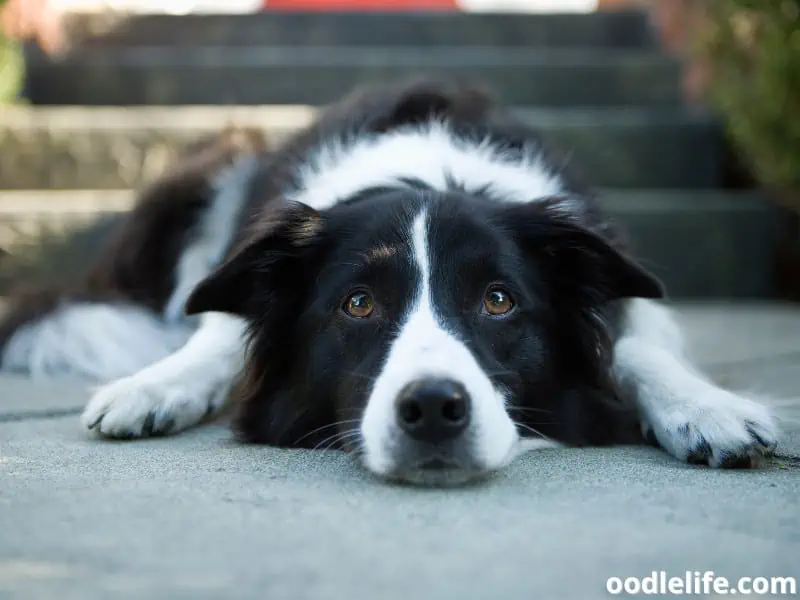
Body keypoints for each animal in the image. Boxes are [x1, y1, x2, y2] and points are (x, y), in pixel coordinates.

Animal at [0, 79, 780, 486]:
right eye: (359, 303)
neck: (430, 173)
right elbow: (219, 335)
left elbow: (636, 344)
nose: (433, 408)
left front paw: (707, 409)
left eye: (498, 300)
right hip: (215, 162)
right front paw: (154, 387)